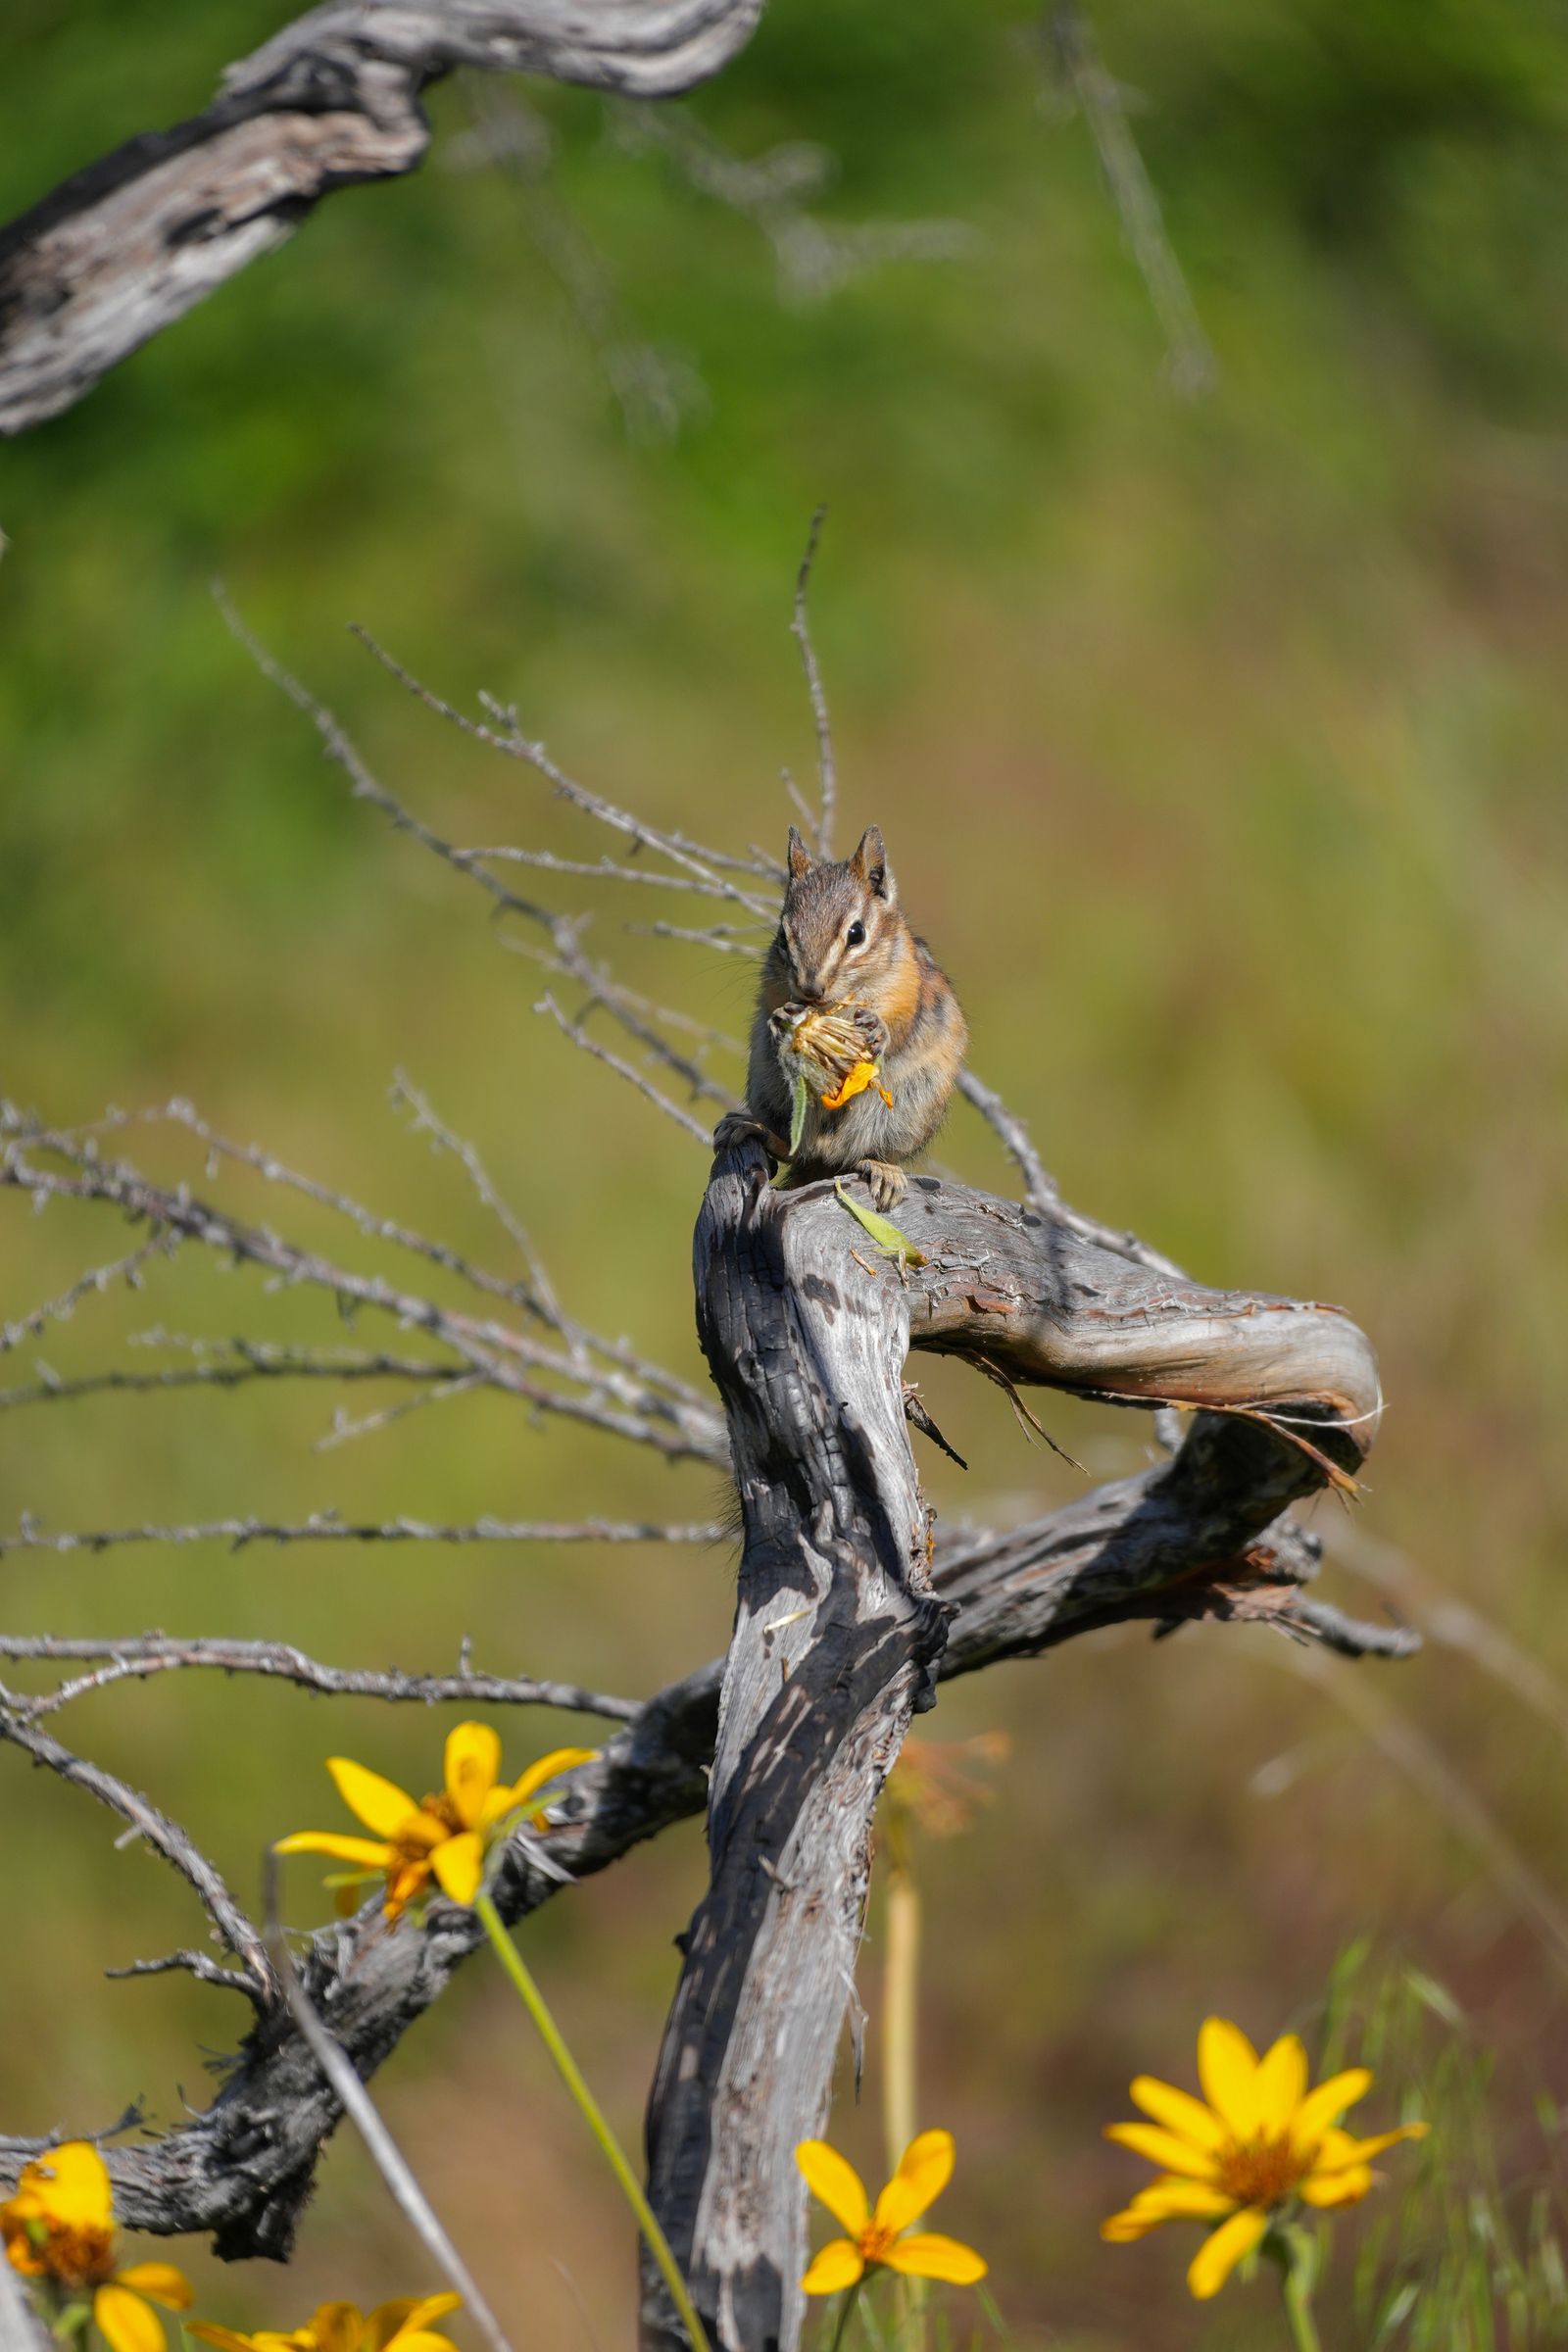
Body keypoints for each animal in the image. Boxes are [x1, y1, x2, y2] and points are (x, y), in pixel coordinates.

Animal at [713, 823, 967, 1210]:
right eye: (783, 936)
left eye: (856, 933)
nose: (810, 988)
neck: (837, 1001)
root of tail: (825, 1156)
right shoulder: (772, 983)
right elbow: (773, 1005)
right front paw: (783, 1021)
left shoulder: (909, 992)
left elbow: (900, 1023)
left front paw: (878, 1029)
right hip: (770, 1090)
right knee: (794, 1148)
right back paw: (754, 1129)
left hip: (909, 1108)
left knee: (865, 1153)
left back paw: (882, 1170)